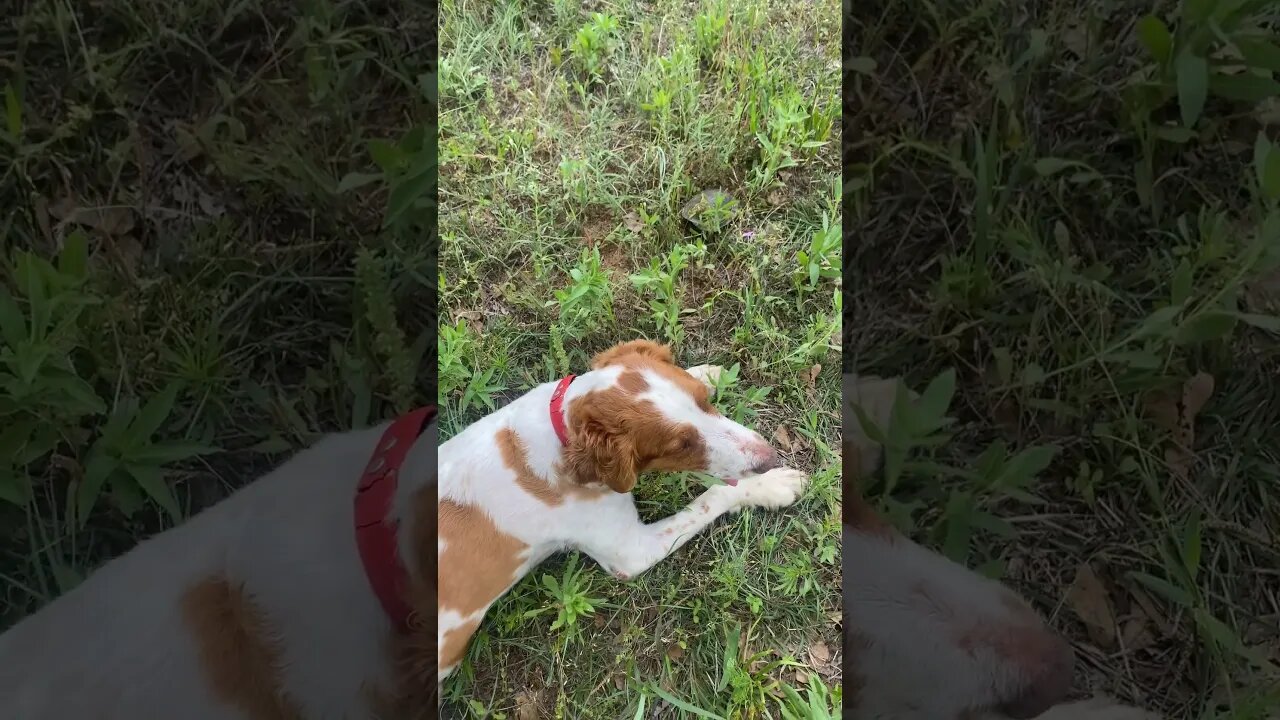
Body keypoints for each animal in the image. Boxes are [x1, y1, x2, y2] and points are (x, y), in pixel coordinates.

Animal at [435, 338, 803, 681]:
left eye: (703, 400)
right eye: (681, 445)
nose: (768, 457)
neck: (562, 436)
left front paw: (705, 372)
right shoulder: (630, 553)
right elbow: (714, 496)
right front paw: (769, 485)